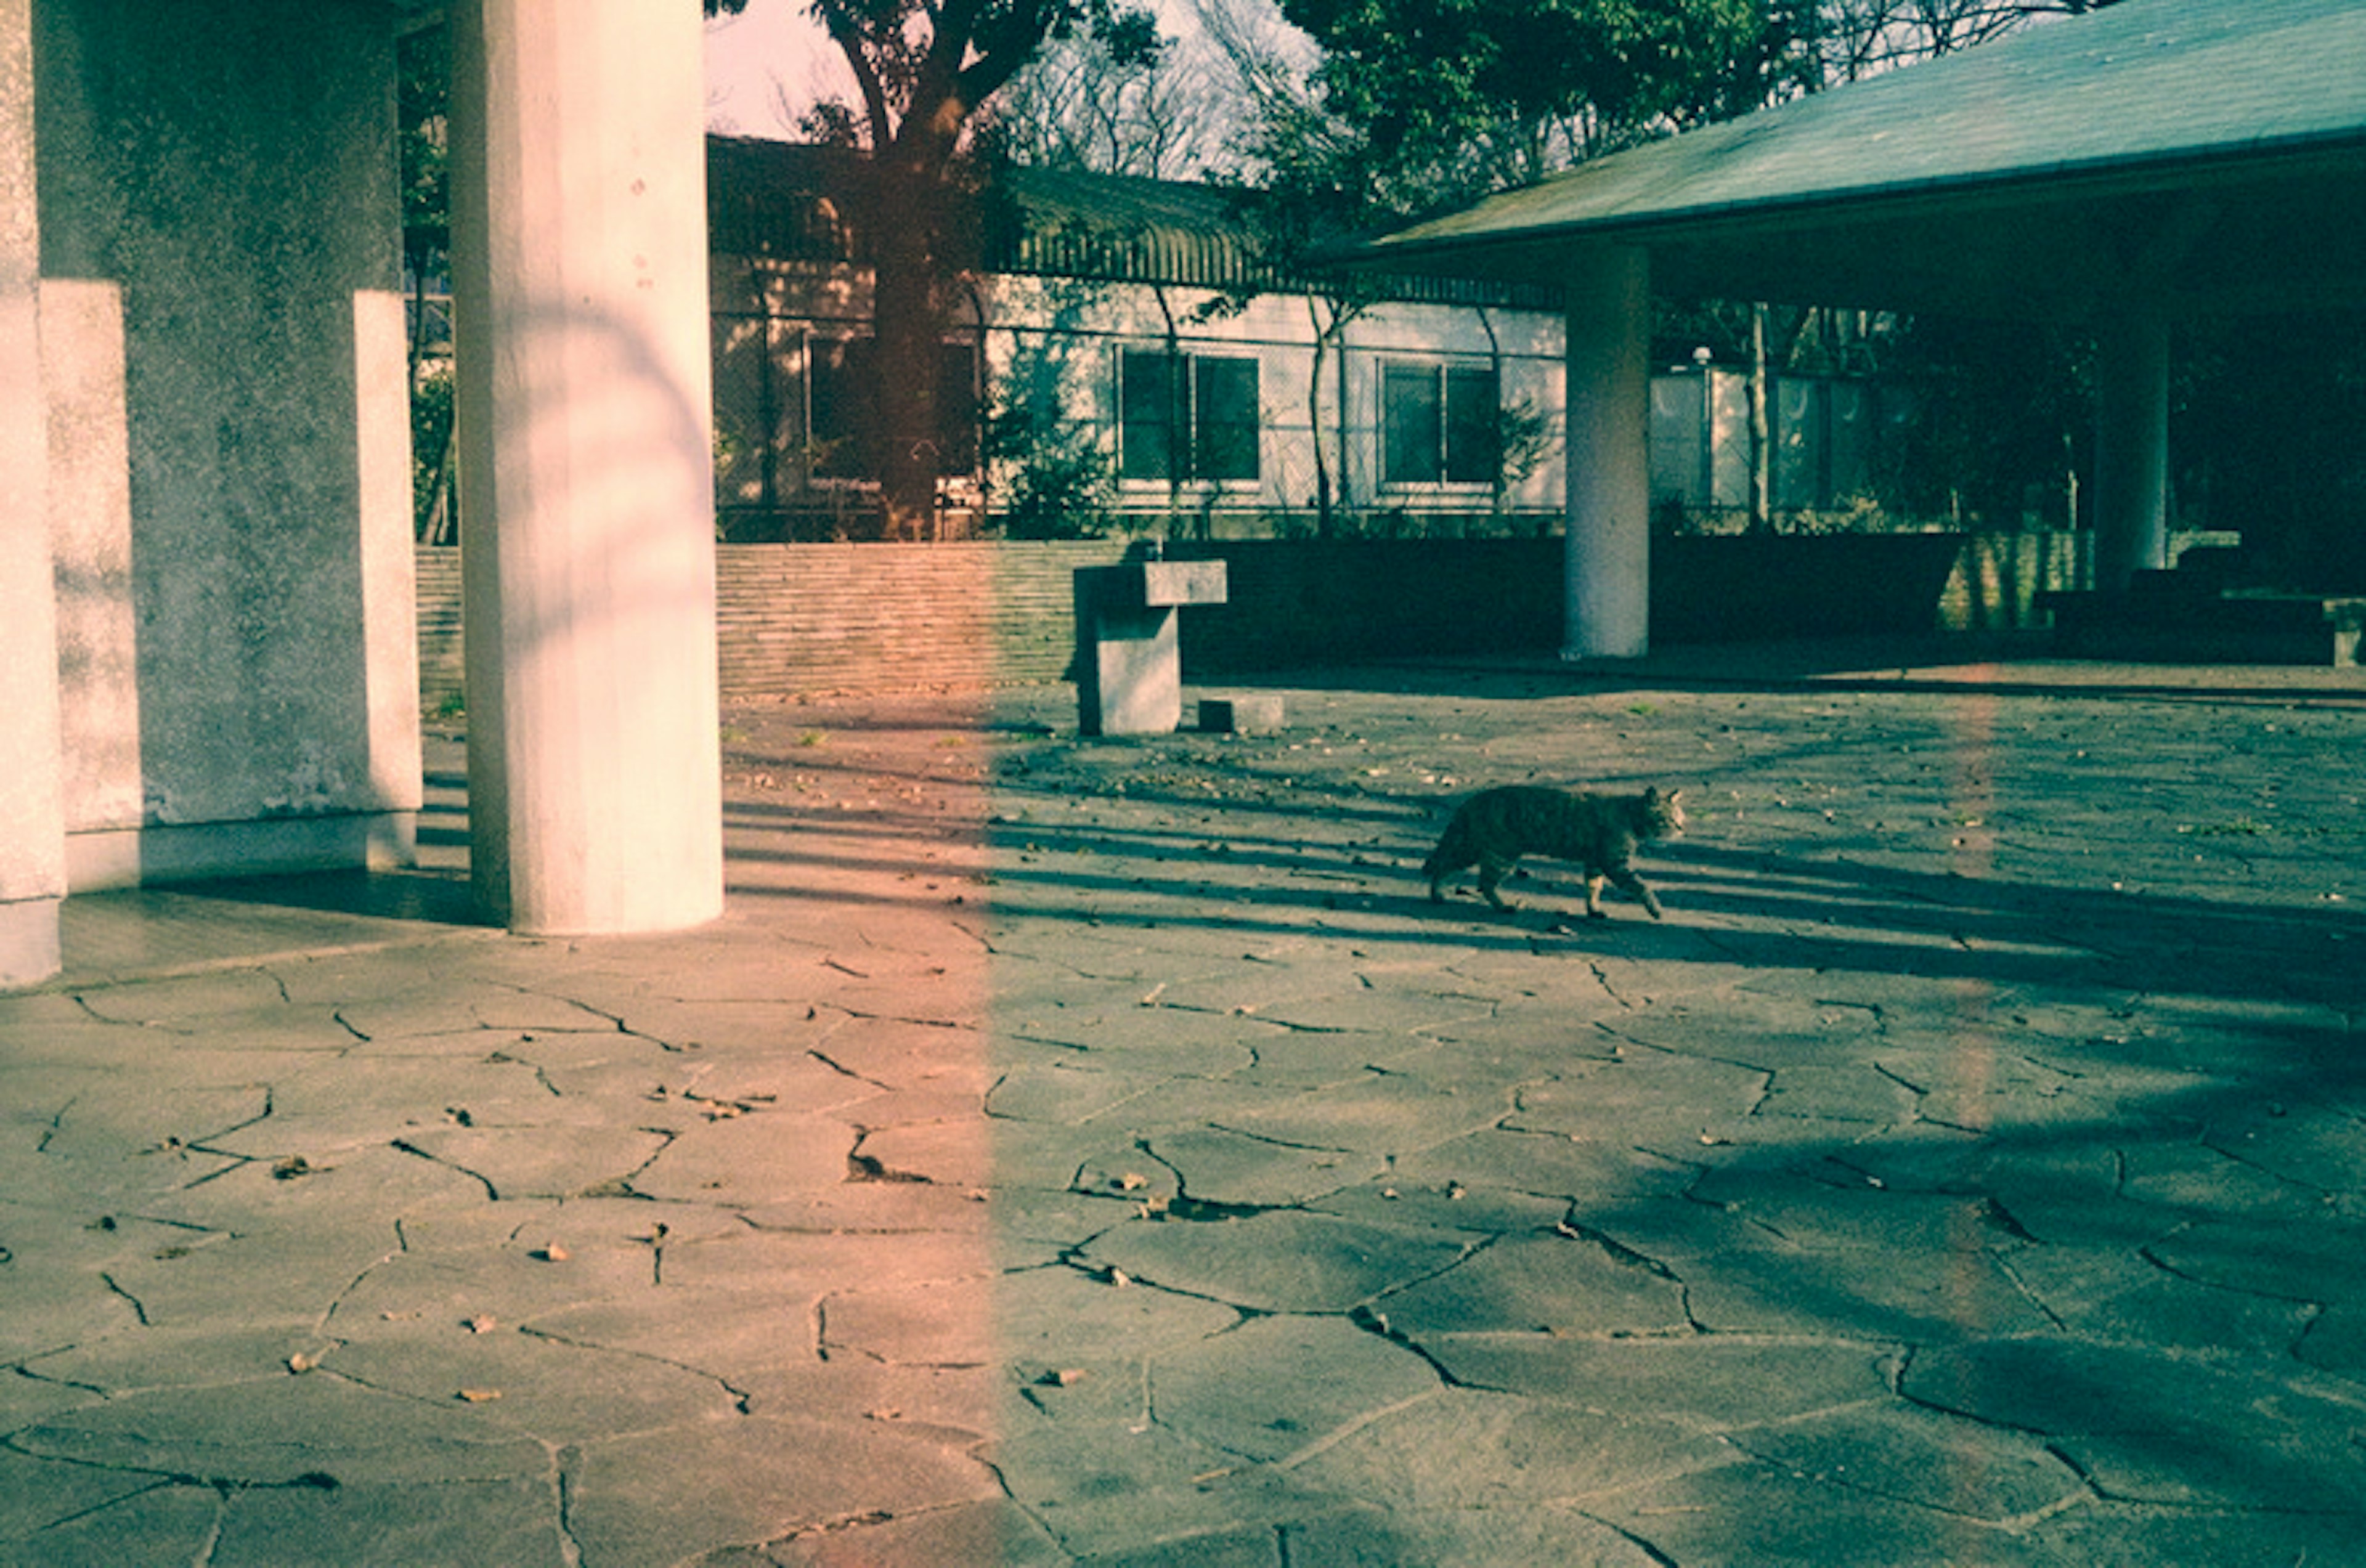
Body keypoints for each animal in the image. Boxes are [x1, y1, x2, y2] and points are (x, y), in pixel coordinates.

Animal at [1420, 785, 1685, 922]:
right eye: (1670, 819)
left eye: (1682, 818)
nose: (1682, 829)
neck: (1629, 814)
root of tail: (1471, 801)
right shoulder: (1615, 863)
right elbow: (1642, 886)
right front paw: (1655, 908)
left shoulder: (1594, 864)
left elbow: (1593, 889)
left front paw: (1593, 909)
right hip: (1500, 854)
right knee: (1479, 881)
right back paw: (1502, 906)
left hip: (1474, 848)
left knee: (1447, 867)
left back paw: (1438, 894)